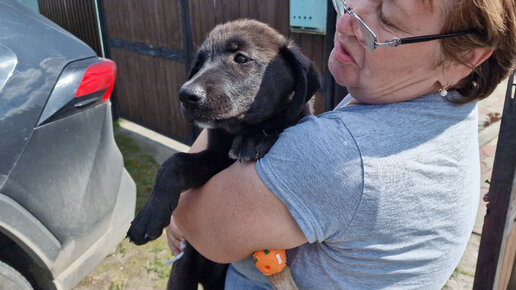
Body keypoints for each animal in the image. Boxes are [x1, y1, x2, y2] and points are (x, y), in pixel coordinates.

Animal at [127, 19, 320, 288]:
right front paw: (147, 217)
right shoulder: (213, 161)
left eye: (240, 58)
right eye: (199, 63)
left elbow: (280, 121)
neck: (234, 130)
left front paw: (257, 136)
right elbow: (174, 163)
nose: (186, 95)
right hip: (183, 269)